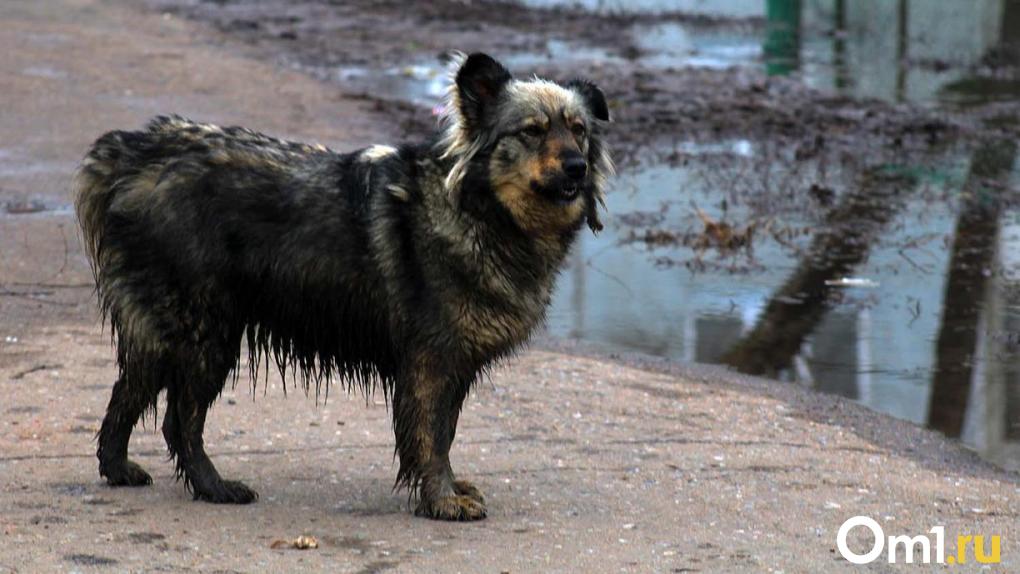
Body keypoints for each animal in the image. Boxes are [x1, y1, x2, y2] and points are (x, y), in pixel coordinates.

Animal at [74, 52, 612, 520]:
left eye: (579, 131)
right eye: (532, 131)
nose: (577, 167)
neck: (480, 210)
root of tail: (132, 153)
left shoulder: (452, 364)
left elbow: (444, 433)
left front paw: (447, 490)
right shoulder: (431, 361)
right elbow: (432, 439)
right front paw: (442, 501)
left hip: (169, 330)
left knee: (129, 392)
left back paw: (118, 469)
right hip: (205, 331)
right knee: (179, 418)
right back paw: (214, 487)